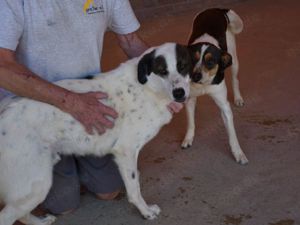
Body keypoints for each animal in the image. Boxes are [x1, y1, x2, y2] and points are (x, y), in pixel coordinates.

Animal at [180, 7, 248, 164]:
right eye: (193, 59)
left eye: (210, 62)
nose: (196, 76)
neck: (203, 85)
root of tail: (216, 9)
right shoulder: (190, 99)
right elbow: (190, 122)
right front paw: (188, 138)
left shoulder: (224, 106)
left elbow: (232, 134)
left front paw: (238, 152)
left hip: (234, 60)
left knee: (235, 79)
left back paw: (238, 98)